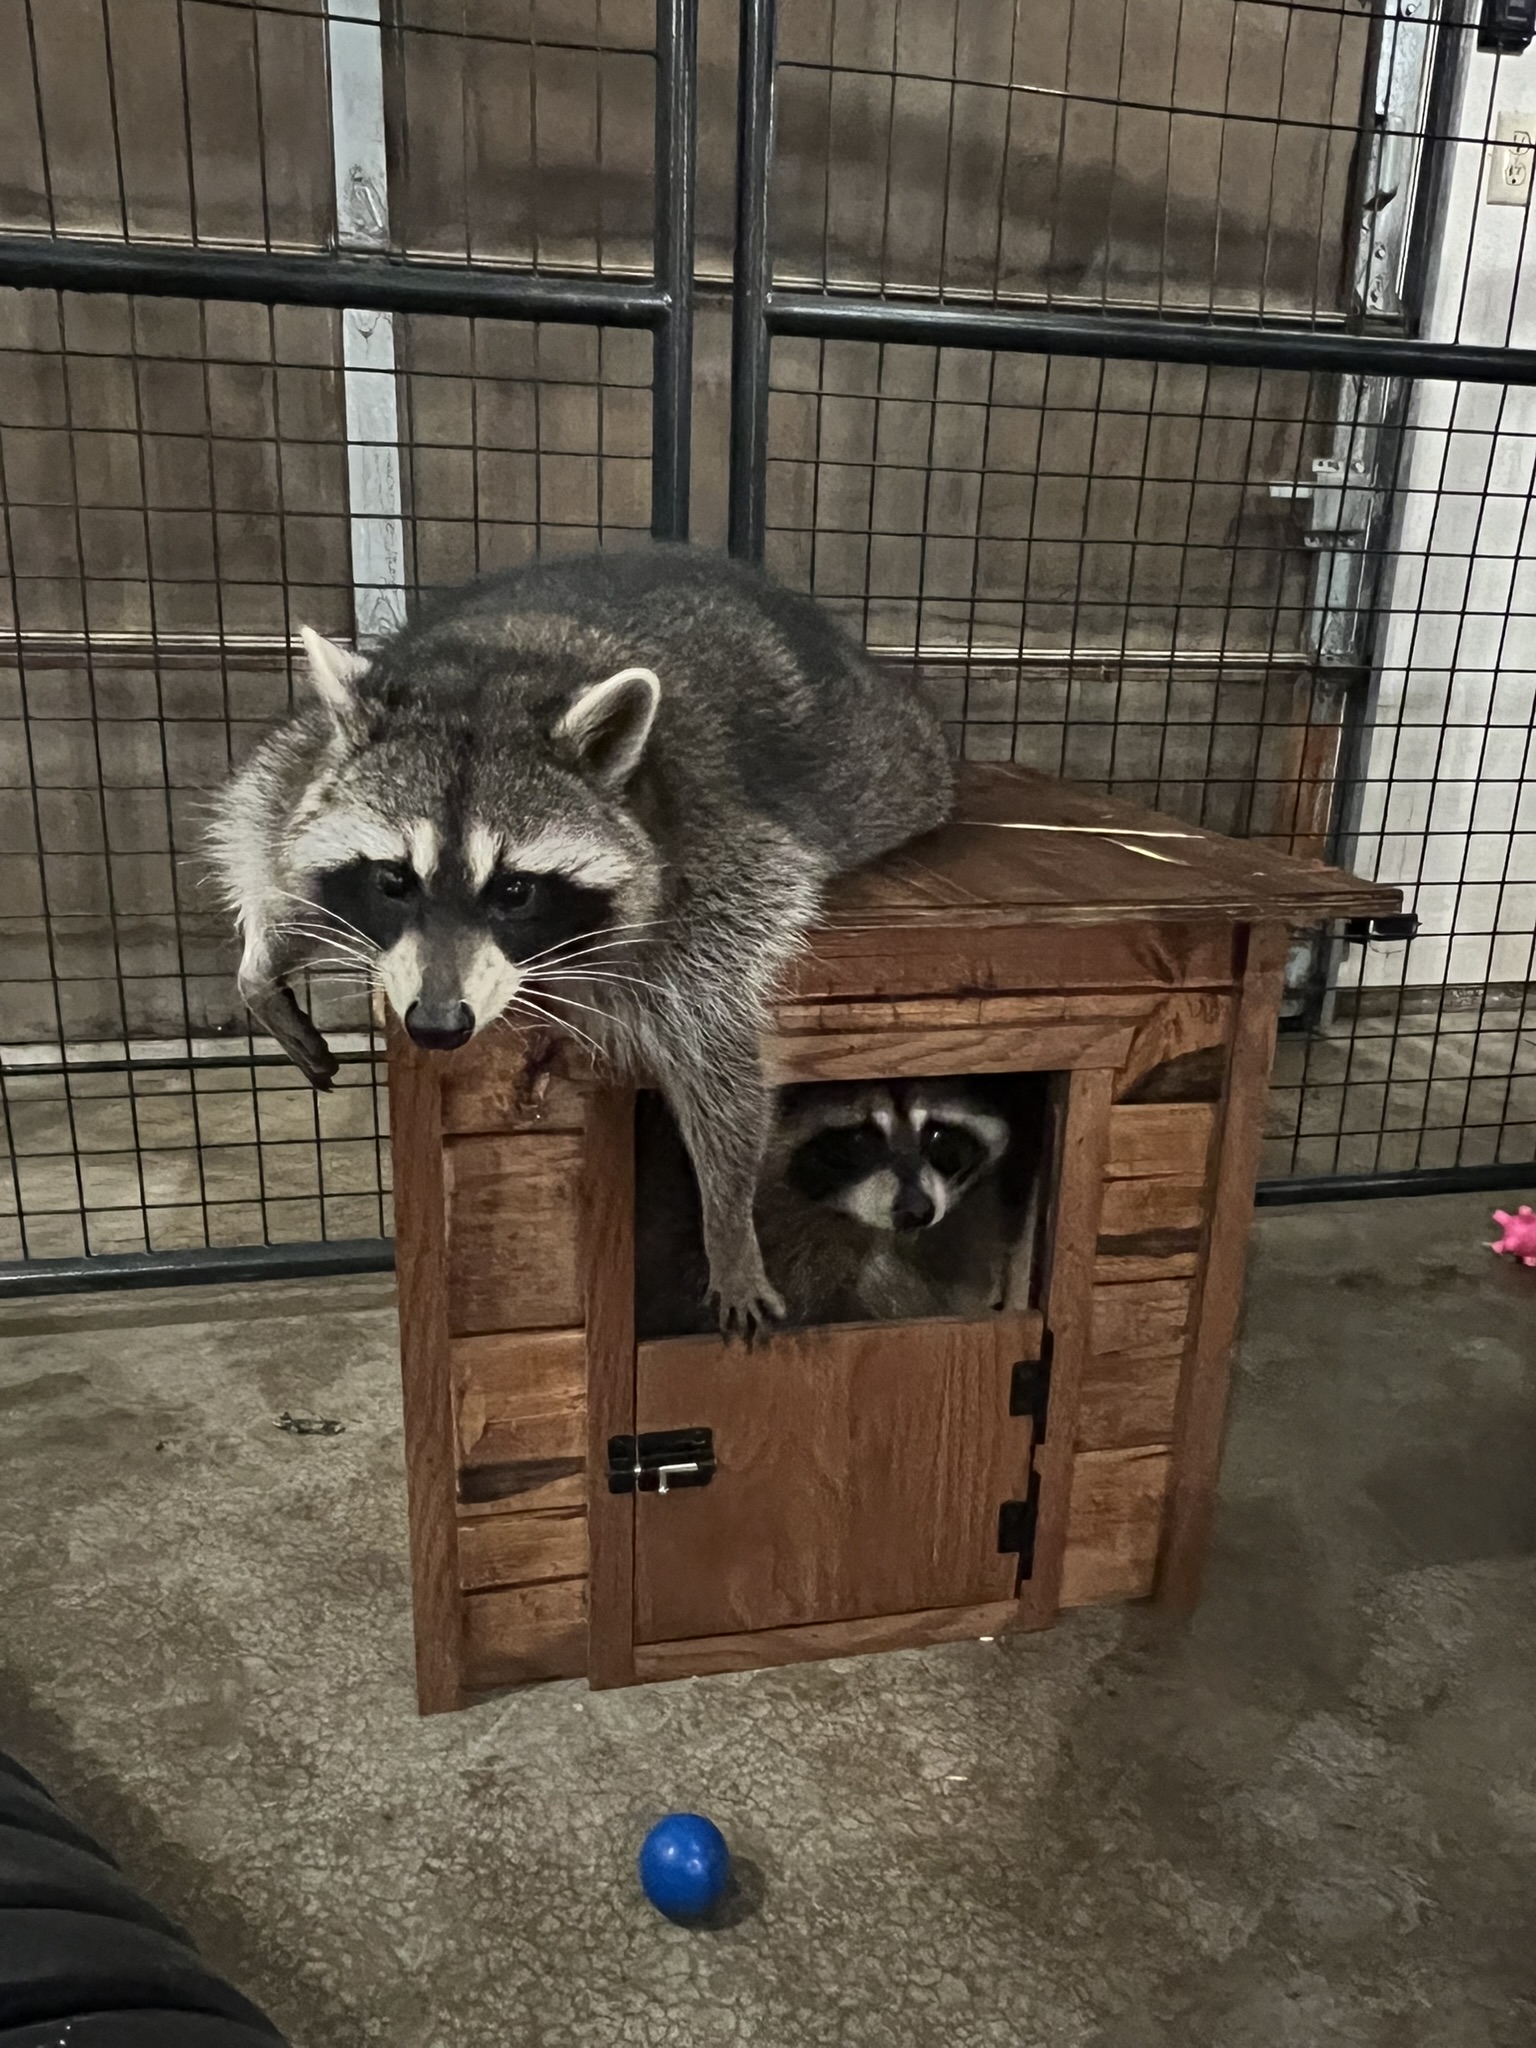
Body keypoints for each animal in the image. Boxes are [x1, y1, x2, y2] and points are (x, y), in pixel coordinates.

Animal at [206, 545, 954, 1334]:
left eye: (514, 891)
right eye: (392, 881)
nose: (436, 1026)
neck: (496, 671)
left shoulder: (720, 870)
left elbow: (716, 1056)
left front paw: (728, 1216)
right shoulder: (305, 768)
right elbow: (260, 822)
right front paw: (266, 953)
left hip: (885, 761)